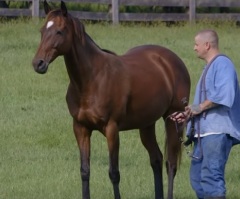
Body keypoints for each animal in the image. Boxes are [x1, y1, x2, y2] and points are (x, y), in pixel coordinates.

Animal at [31, 0, 190, 198]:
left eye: (59, 31)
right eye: (42, 30)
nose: (38, 63)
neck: (92, 79)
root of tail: (172, 61)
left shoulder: (112, 130)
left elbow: (114, 173)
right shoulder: (80, 128)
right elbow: (85, 171)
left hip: (173, 119)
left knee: (171, 164)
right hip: (146, 125)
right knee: (156, 159)